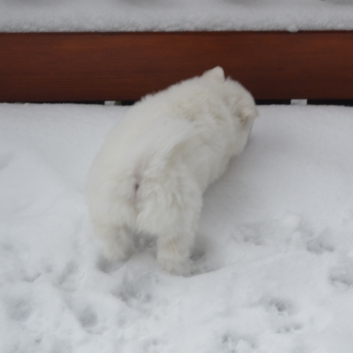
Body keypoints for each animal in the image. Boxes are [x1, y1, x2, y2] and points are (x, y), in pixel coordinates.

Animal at [85, 66, 256, 276]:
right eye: (250, 125)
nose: (251, 136)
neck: (219, 97)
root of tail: (141, 166)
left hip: (109, 216)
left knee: (114, 246)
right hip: (178, 222)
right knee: (171, 256)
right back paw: (187, 269)